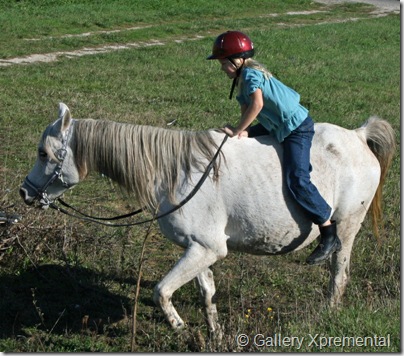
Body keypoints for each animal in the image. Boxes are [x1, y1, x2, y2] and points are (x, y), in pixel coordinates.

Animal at [19, 103, 394, 336]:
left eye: (43, 153)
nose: (25, 193)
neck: (177, 173)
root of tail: (358, 136)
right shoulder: (198, 248)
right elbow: (206, 292)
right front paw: (214, 332)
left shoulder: (207, 248)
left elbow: (161, 292)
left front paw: (180, 328)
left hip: (347, 227)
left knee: (339, 274)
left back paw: (327, 313)